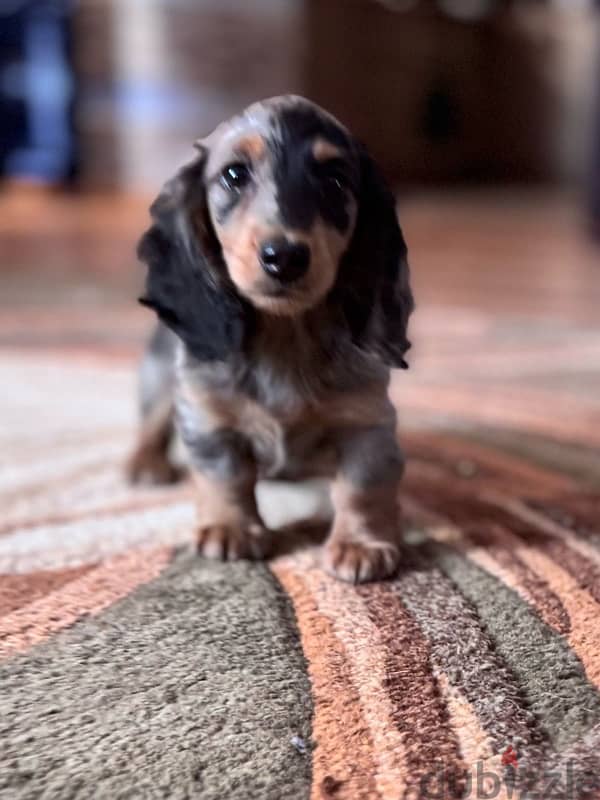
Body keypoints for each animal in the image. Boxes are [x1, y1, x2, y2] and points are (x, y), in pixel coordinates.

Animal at [129, 95, 414, 580]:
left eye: (336, 179)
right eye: (234, 174)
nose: (284, 256)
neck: (286, 336)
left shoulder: (368, 423)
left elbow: (361, 486)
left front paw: (361, 544)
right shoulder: (207, 416)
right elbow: (226, 476)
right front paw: (230, 528)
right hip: (163, 381)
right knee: (150, 423)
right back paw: (145, 464)